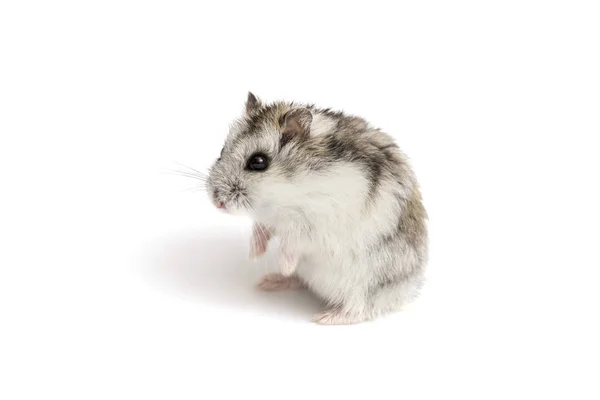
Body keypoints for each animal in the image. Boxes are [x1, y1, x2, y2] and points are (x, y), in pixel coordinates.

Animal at [206, 93, 426, 324]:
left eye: (258, 162)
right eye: (222, 151)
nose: (217, 202)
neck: (288, 194)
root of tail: (410, 288)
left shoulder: (320, 220)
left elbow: (294, 240)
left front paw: (284, 265)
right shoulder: (270, 217)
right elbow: (262, 228)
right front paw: (255, 254)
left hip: (367, 282)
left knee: (360, 309)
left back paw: (325, 317)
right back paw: (271, 281)